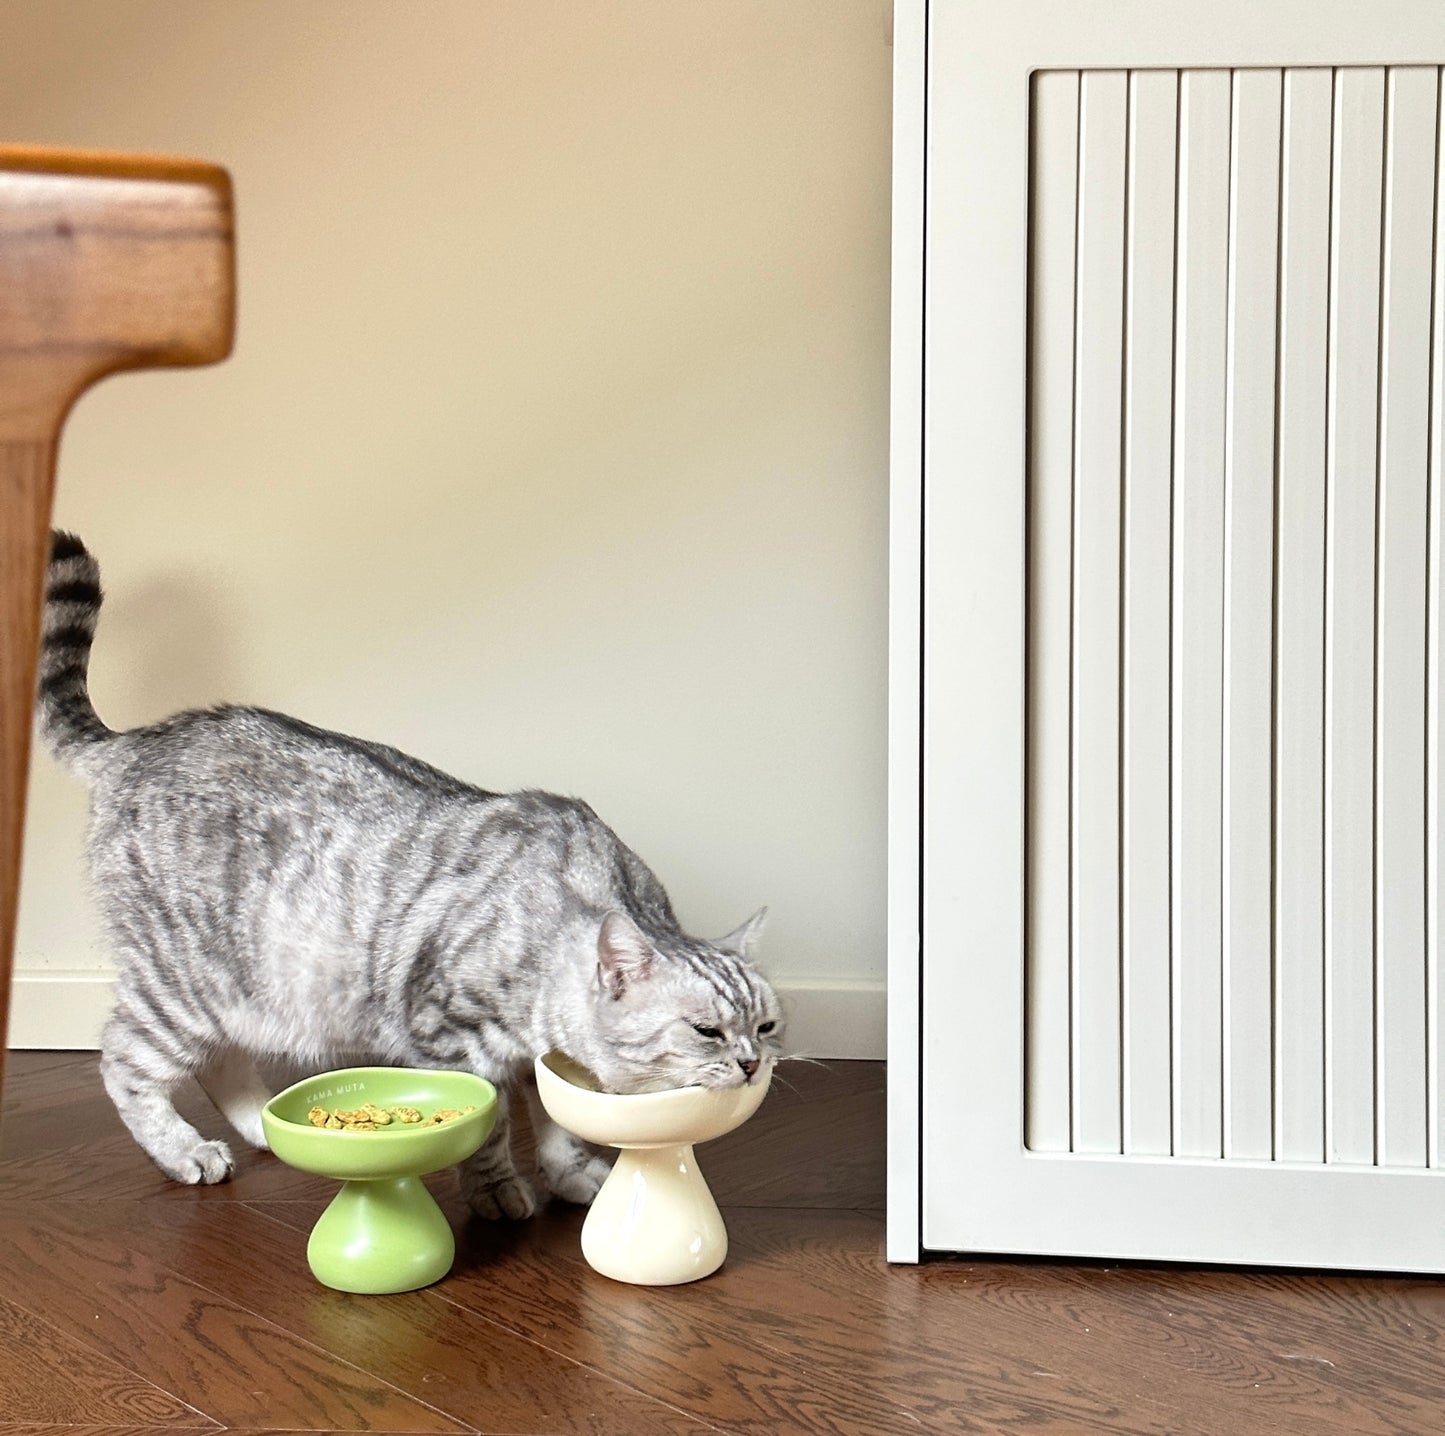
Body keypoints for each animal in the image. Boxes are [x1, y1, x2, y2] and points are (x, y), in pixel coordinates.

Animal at [36, 531, 780, 1213]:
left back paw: (262, 1126)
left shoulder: (548, 1062)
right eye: (707, 1031)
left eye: (767, 1027)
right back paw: (185, 1151)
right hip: (184, 988)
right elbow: (490, 1129)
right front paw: (498, 1192)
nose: (751, 1063)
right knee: (123, 1062)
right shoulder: (451, 1042)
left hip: (249, 996)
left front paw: (572, 1176)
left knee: (222, 1062)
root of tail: (138, 742)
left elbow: (560, 1128)